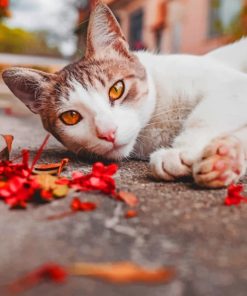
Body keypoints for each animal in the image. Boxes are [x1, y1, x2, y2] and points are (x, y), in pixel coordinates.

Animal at [2, 1, 247, 188]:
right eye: (70, 116)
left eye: (116, 89)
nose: (108, 133)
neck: (154, 127)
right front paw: (227, 159)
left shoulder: (234, 84)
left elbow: (204, 116)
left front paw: (181, 150)